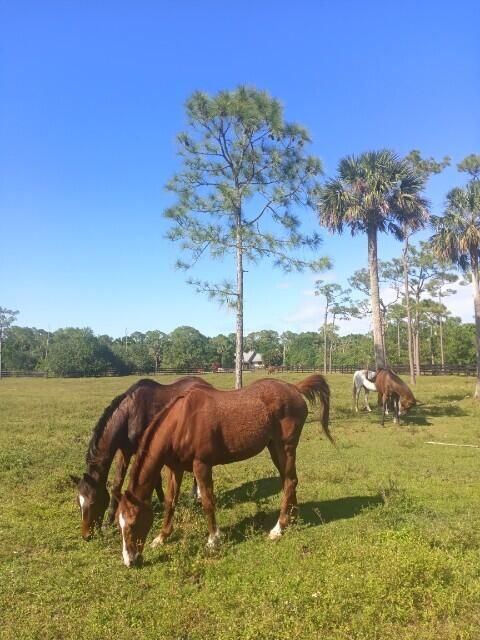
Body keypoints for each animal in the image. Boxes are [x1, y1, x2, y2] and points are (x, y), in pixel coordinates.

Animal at [68, 376, 211, 540]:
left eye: (92, 502)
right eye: (79, 502)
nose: (86, 535)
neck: (129, 416)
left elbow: (154, 480)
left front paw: (161, 502)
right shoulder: (124, 451)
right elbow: (117, 484)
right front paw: (109, 521)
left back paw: (196, 496)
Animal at [118, 376, 332, 564]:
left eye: (133, 523)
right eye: (120, 524)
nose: (130, 561)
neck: (181, 422)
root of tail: (294, 388)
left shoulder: (201, 465)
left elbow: (207, 501)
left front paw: (213, 540)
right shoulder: (175, 469)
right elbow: (170, 502)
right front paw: (161, 538)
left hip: (285, 447)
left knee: (289, 482)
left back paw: (278, 529)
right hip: (274, 448)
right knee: (290, 481)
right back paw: (292, 519)